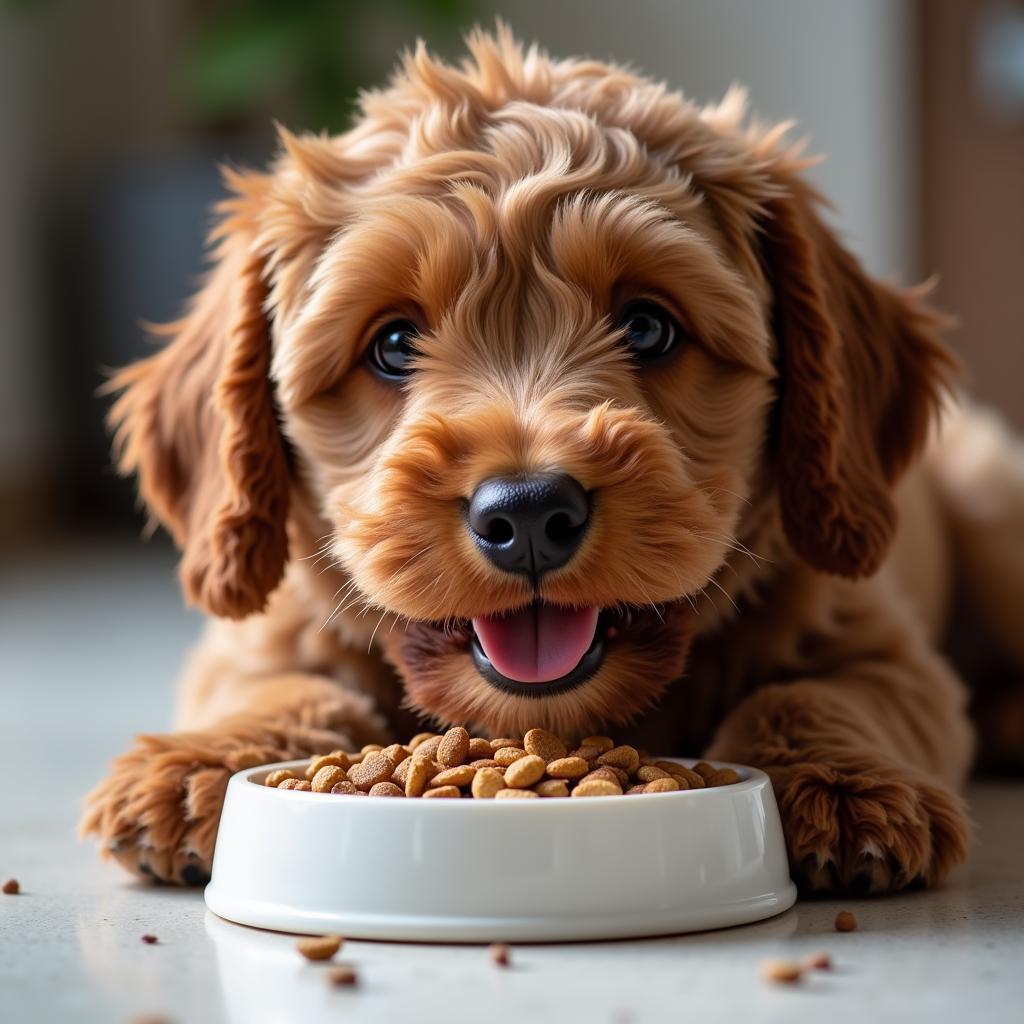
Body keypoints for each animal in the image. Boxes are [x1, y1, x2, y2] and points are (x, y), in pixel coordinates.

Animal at [83, 25, 1024, 897]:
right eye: (392, 344)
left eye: (648, 326)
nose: (528, 511)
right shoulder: (260, 639)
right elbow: (280, 687)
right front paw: (199, 763)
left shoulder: (884, 648)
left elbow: (820, 693)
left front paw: (844, 784)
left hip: (992, 504)